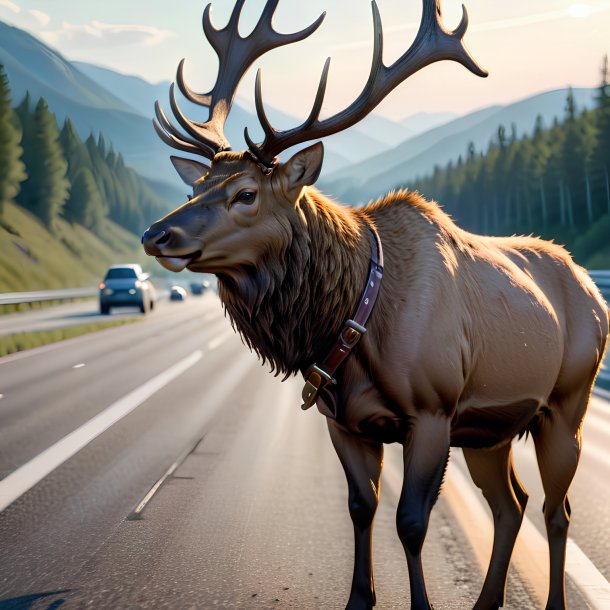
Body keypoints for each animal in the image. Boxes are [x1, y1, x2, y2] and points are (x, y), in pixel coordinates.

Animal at [140, 2, 604, 604]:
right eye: (194, 189)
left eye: (246, 193)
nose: (155, 235)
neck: (354, 318)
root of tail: (593, 289)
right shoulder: (345, 421)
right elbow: (362, 508)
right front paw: (360, 597)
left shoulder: (432, 412)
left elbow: (410, 522)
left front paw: (421, 603)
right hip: (491, 427)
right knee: (512, 503)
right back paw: (487, 600)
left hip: (566, 404)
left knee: (556, 509)